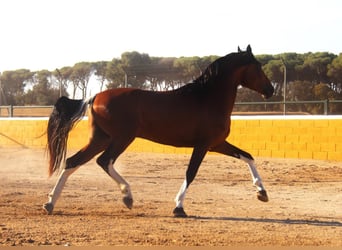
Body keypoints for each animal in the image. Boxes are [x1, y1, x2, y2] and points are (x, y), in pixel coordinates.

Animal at [42, 45, 274, 217]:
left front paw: (262, 193)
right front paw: (178, 207)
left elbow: (248, 156)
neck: (207, 98)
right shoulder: (203, 145)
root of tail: (94, 97)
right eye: (258, 66)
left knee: (72, 162)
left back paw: (50, 203)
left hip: (101, 139)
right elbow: (191, 172)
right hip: (122, 138)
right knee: (104, 161)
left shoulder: (216, 144)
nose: (271, 90)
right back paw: (127, 196)